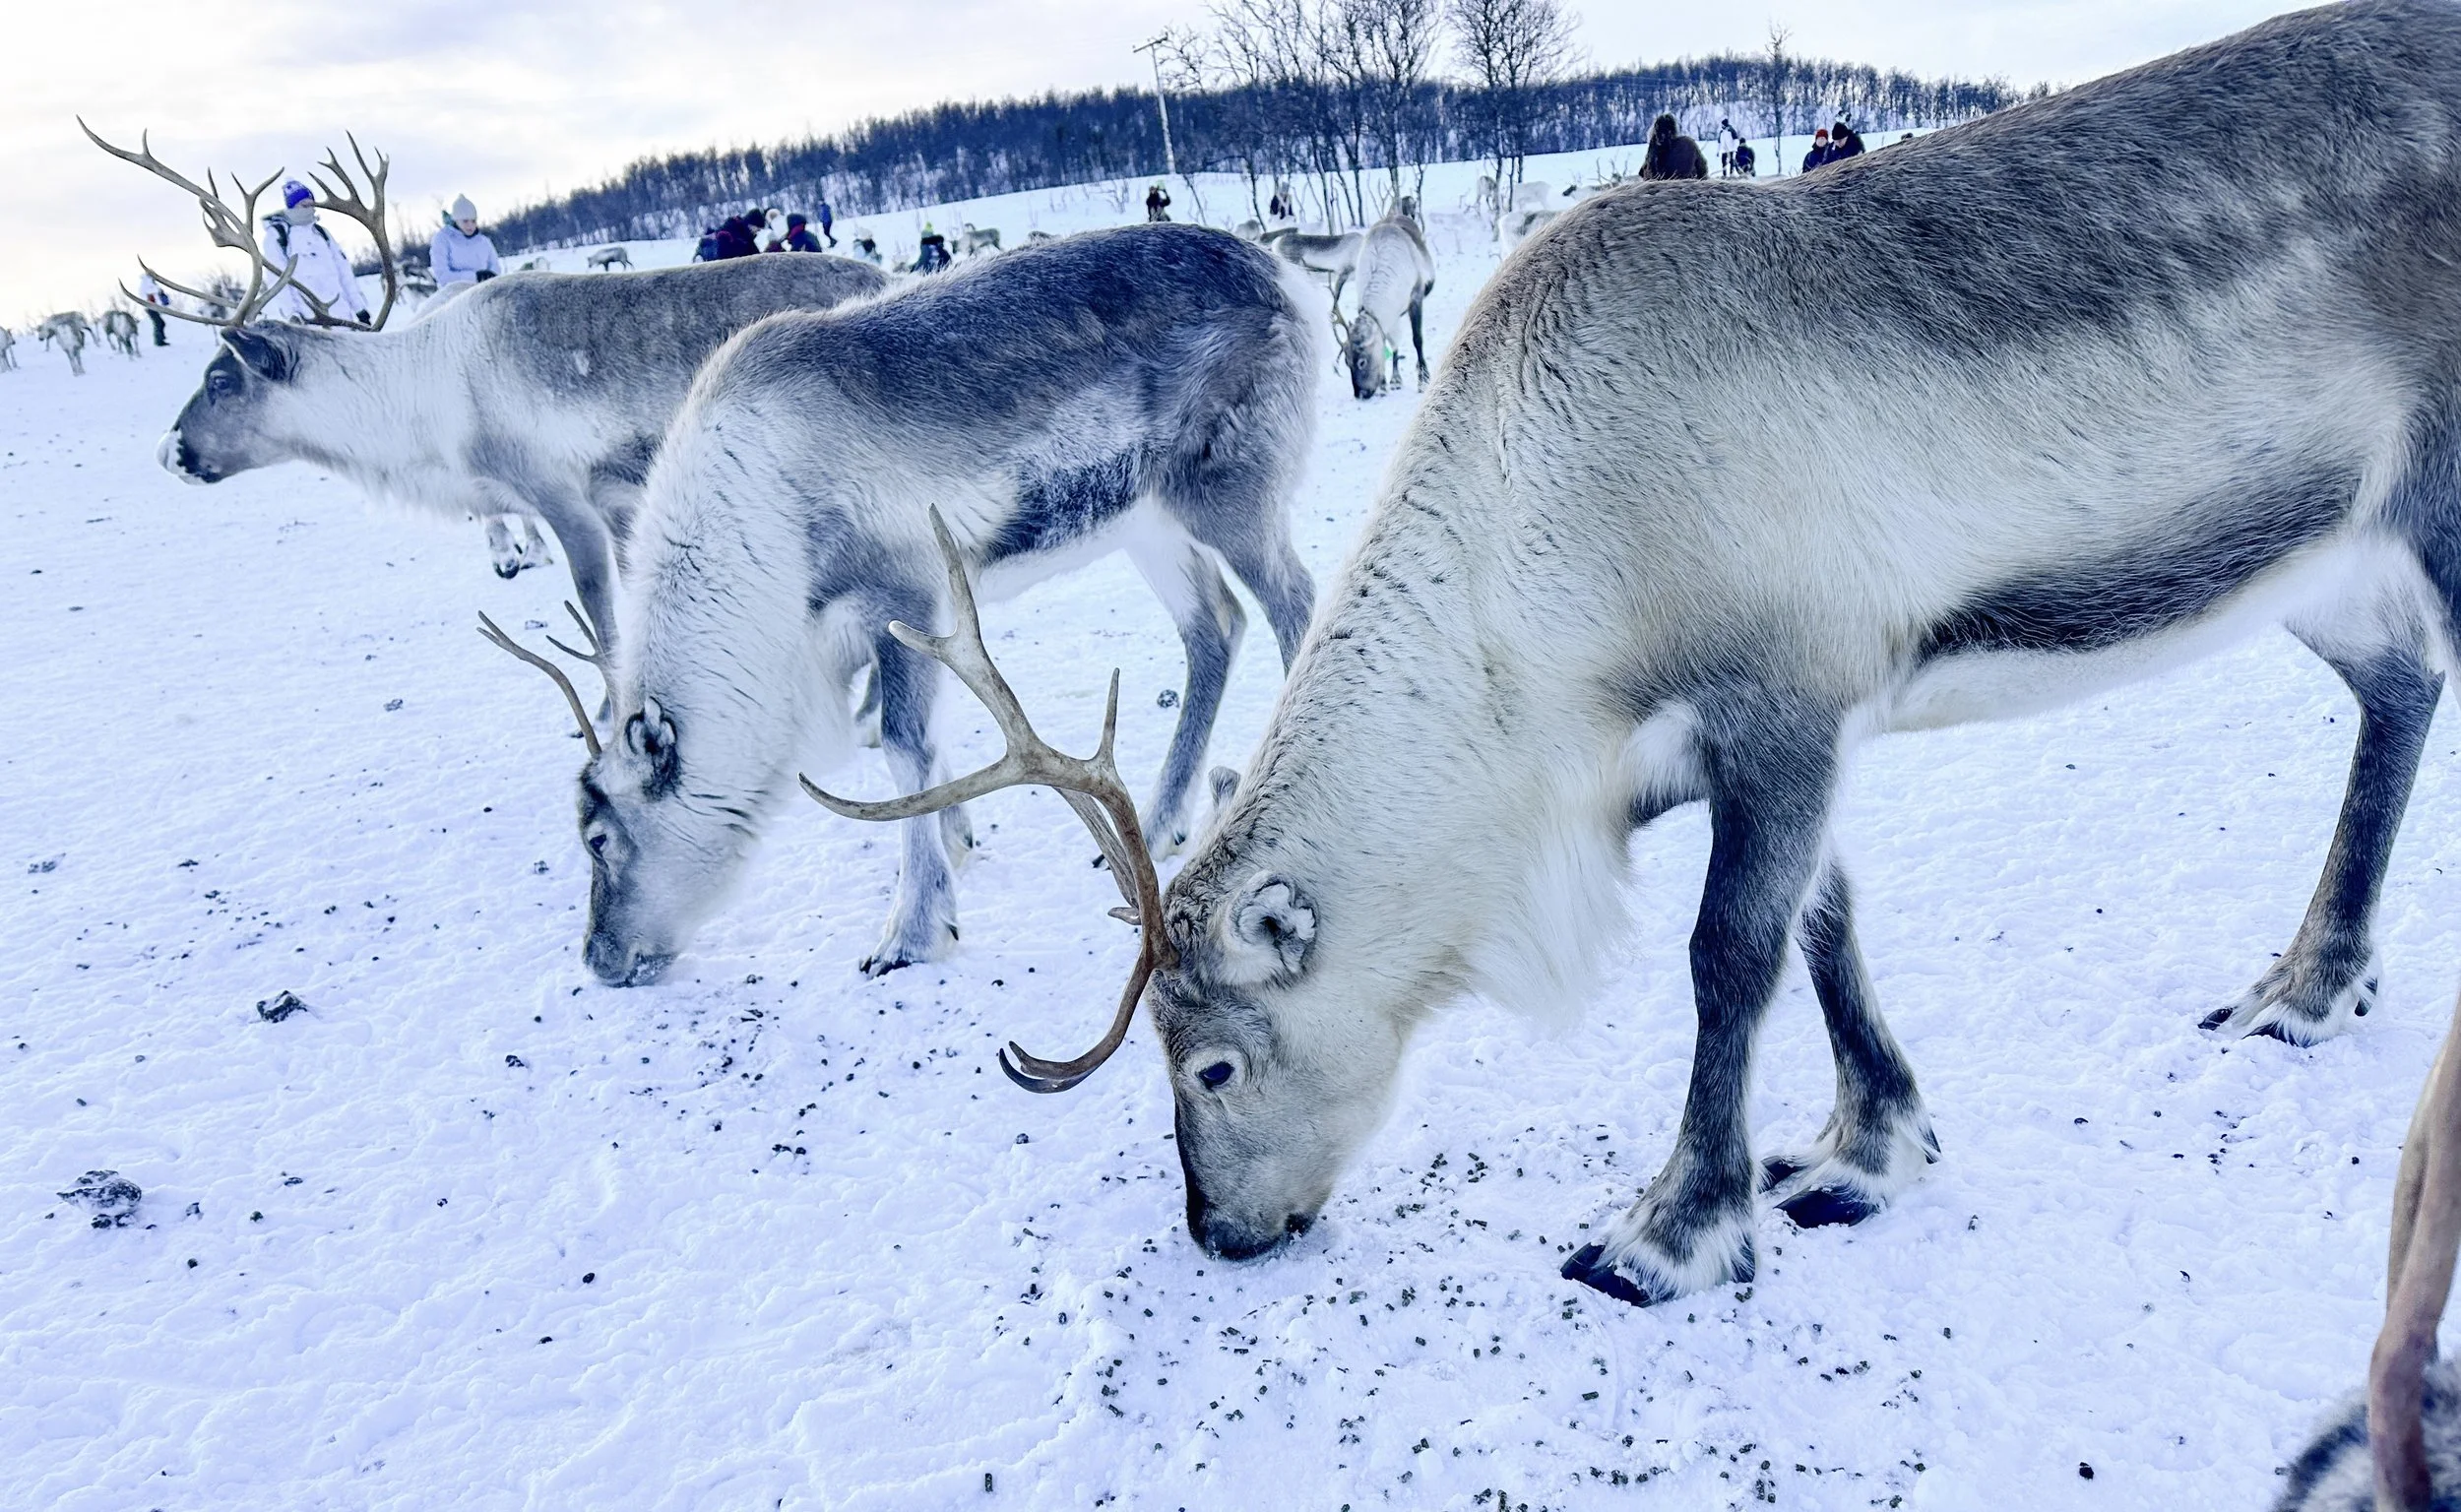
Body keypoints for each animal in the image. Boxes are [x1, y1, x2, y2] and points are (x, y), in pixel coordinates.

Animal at [87, 122, 887, 669]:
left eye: (221, 380)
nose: (169, 450)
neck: (423, 401)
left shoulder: (564, 496)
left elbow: (604, 626)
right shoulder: (620, 501)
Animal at [480, 224, 1322, 985]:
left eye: (599, 838)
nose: (599, 959)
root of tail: (1287, 277)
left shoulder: (904, 590)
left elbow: (903, 746)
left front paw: (912, 931)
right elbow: (928, 747)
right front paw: (958, 841)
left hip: (1230, 495)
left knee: (1297, 608)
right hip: (1145, 522)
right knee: (1214, 627)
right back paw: (1157, 818)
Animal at [804, 0, 2461, 1307]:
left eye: (1211, 1062)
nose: (1217, 1232)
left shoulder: (1786, 696)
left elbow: (1730, 957)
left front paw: (1674, 1228)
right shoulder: (1773, 737)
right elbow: (1827, 932)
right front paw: (1871, 1145)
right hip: (2319, 551)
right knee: (2398, 681)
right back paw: (2310, 983)